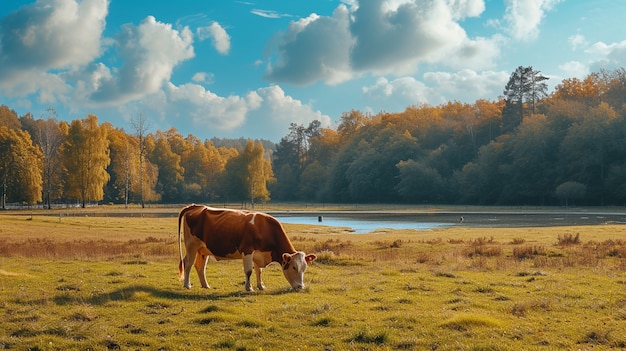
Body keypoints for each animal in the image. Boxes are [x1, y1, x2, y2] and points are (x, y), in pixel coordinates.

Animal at [177, 205, 316, 292]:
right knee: (188, 263)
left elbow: (259, 271)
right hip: (191, 245)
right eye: (294, 267)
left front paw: (261, 286)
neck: (265, 228)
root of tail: (195, 206)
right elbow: (249, 271)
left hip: (203, 249)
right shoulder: (247, 250)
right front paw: (249, 288)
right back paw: (187, 285)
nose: (300, 287)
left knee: (200, 266)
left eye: (304, 268)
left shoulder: (258, 253)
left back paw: (205, 285)